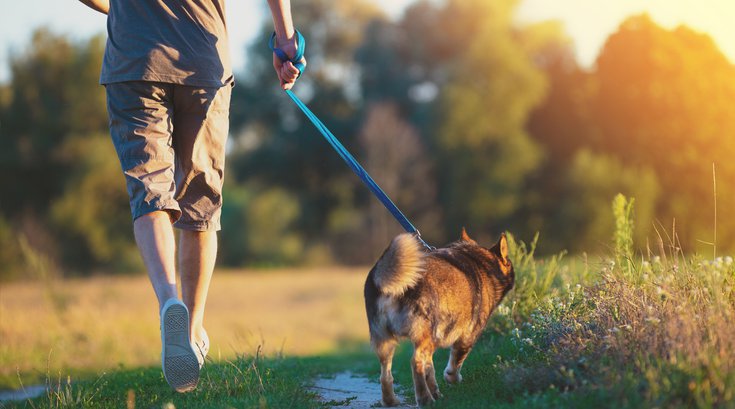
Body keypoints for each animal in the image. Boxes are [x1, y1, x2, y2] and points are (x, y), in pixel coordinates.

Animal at [364, 230, 516, 404]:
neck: (481, 263)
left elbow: (430, 370)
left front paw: (437, 392)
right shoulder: (468, 336)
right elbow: (456, 362)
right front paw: (451, 379)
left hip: (386, 341)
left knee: (385, 374)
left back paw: (391, 401)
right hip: (424, 336)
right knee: (415, 362)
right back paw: (425, 399)